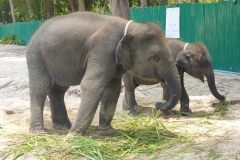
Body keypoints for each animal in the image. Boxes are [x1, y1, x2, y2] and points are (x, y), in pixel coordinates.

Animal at [26, 12, 180, 136]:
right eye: (155, 58)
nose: (158, 104)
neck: (130, 27)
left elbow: (113, 89)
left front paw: (107, 132)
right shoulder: (103, 49)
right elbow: (91, 85)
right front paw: (74, 135)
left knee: (58, 90)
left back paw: (63, 127)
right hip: (36, 57)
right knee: (41, 89)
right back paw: (39, 133)